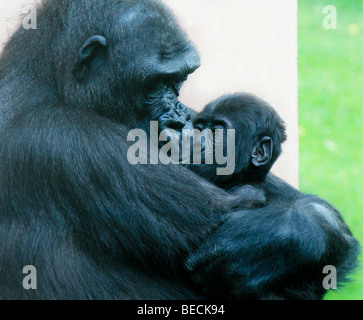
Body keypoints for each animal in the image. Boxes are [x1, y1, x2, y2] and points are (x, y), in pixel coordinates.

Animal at [0, 0, 268, 300]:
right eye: (156, 83)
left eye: (180, 79)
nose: (179, 114)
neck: (52, 84)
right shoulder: (70, 139)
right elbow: (231, 215)